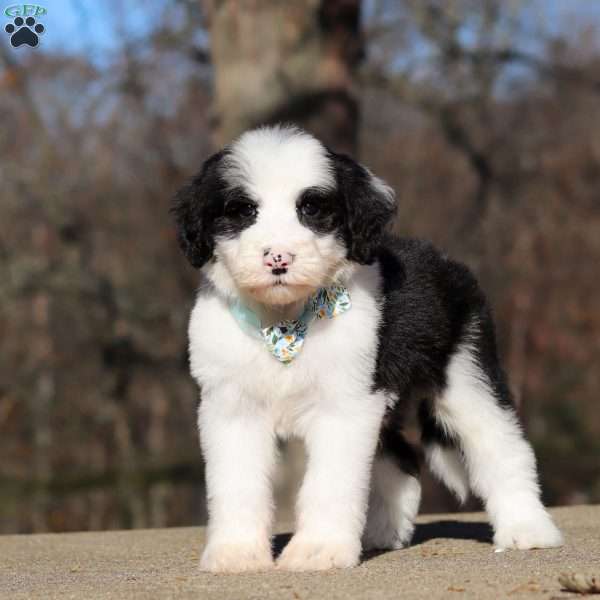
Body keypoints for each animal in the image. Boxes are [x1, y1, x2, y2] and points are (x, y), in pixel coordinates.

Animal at [172, 123, 564, 572]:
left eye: (312, 209)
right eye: (242, 211)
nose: (278, 258)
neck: (284, 321)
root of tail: (448, 263)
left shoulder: (344, 405)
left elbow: (330, 483)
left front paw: (317, 551)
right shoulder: (232, 408)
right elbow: (236, 483)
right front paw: (236, 553)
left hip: (467, 374)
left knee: (502, 447)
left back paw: (528, 530)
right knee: (402, 460)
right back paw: (383, 532)